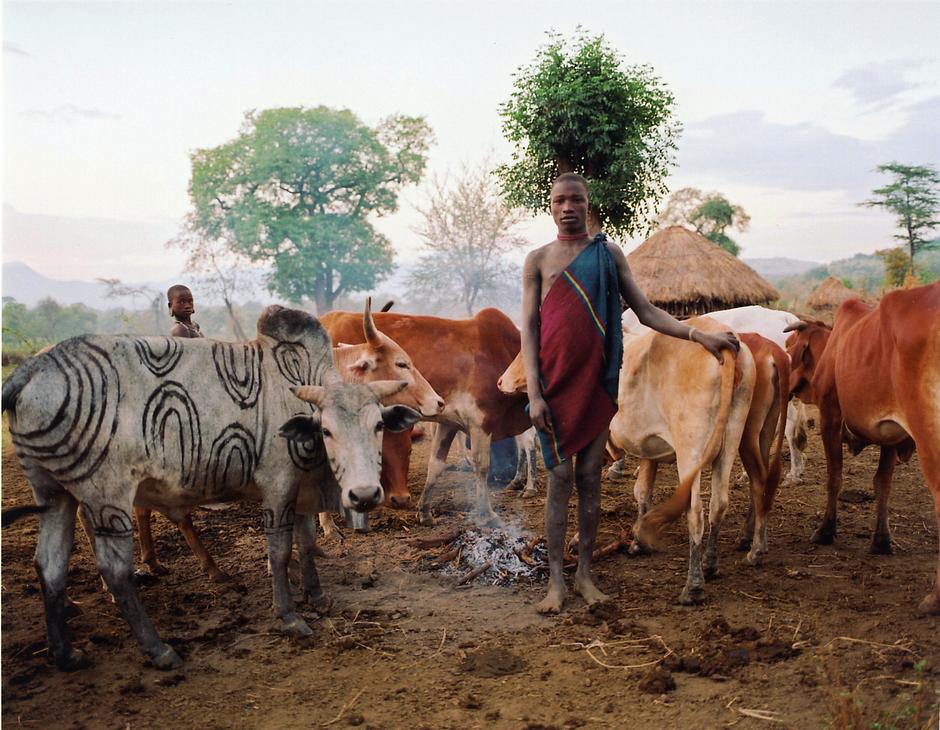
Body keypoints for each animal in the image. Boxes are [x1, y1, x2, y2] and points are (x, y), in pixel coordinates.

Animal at [0, 304, 418, 668]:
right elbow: (281, 553)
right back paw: (158, 648)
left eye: (378, 425)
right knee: (115, 572)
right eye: (326, 430)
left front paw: (316, 596)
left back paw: (65, 654)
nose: (364, 495)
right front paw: (289, 616)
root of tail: (33, 367)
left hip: (54, 495)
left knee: (49, 566)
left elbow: (307, 543)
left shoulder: (302, 490)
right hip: (106, 498)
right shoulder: (278, 485)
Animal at [322, 306, 528, 524]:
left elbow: (435, 466)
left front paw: (425, 512)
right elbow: (482, 467)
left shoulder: (449, 423)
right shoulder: (481, 423)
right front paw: (487, 514)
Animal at [784, 282, 940, 612]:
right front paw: (880, 541)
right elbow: (882, 484)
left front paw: (825, 531)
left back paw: (934, 597)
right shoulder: (890, 435)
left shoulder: (830, 418)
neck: (833, 347)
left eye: (790, 347)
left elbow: (834, 479)